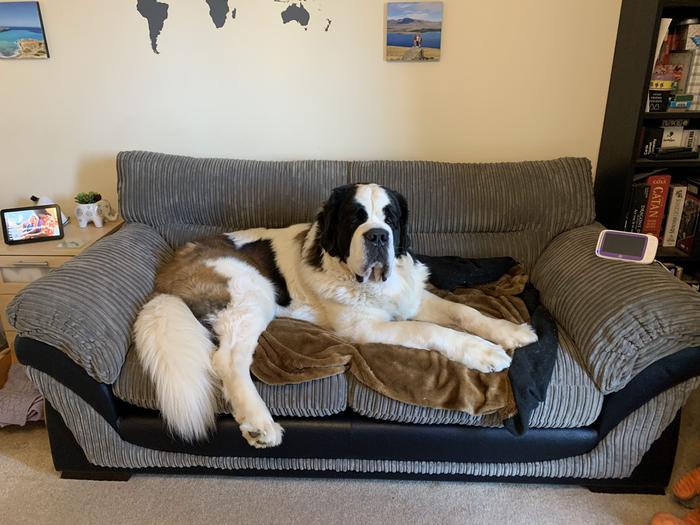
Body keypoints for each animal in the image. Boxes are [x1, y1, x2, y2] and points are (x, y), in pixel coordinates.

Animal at [133, 183, 536, 446]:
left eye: (390, 217)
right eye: (355, 218)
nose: (378, 236)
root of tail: (168, 274)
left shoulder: (411, 297)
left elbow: (463, 311)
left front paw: (509, 332)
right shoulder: (365, 327)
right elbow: (430, 331)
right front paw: (484, 352)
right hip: (253, 290)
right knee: (228, 359)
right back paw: (259, 422)